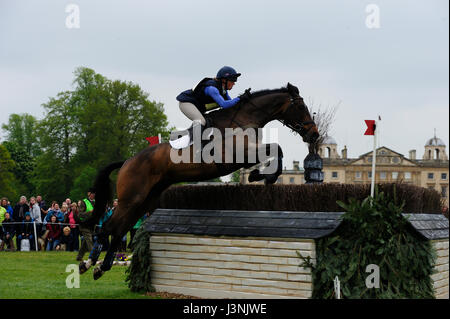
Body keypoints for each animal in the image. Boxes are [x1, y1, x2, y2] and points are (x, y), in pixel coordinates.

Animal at [81, 82, 320, 280]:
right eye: (300, 106)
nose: (314, 135)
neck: (244, 119)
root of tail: (127, 161)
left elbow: (275, 151)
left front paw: (262, 176)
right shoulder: (237, 156)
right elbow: (275, 150)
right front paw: (260, 176)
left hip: (144, 200)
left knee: (120, 230)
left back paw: (101, 267)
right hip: (131, 198)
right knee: (107, 229)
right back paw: (89, 263)